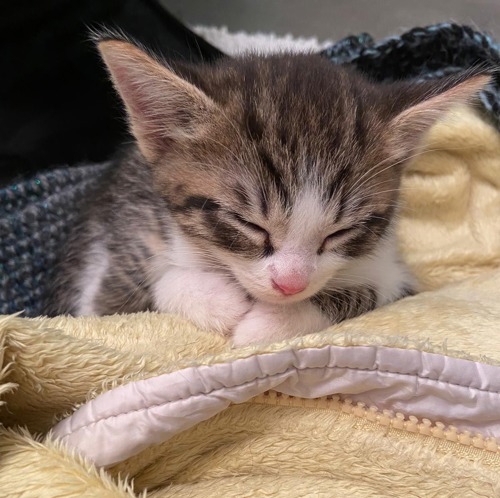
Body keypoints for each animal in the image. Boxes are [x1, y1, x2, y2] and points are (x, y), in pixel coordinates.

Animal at [43, 34, 488, 346]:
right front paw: (215, 299)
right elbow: (132, 301)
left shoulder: (394, 273)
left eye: (340, 232)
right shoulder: (117, 255)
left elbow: (368, 291)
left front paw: (273, 322)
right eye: (248, 224)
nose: (290, 285)